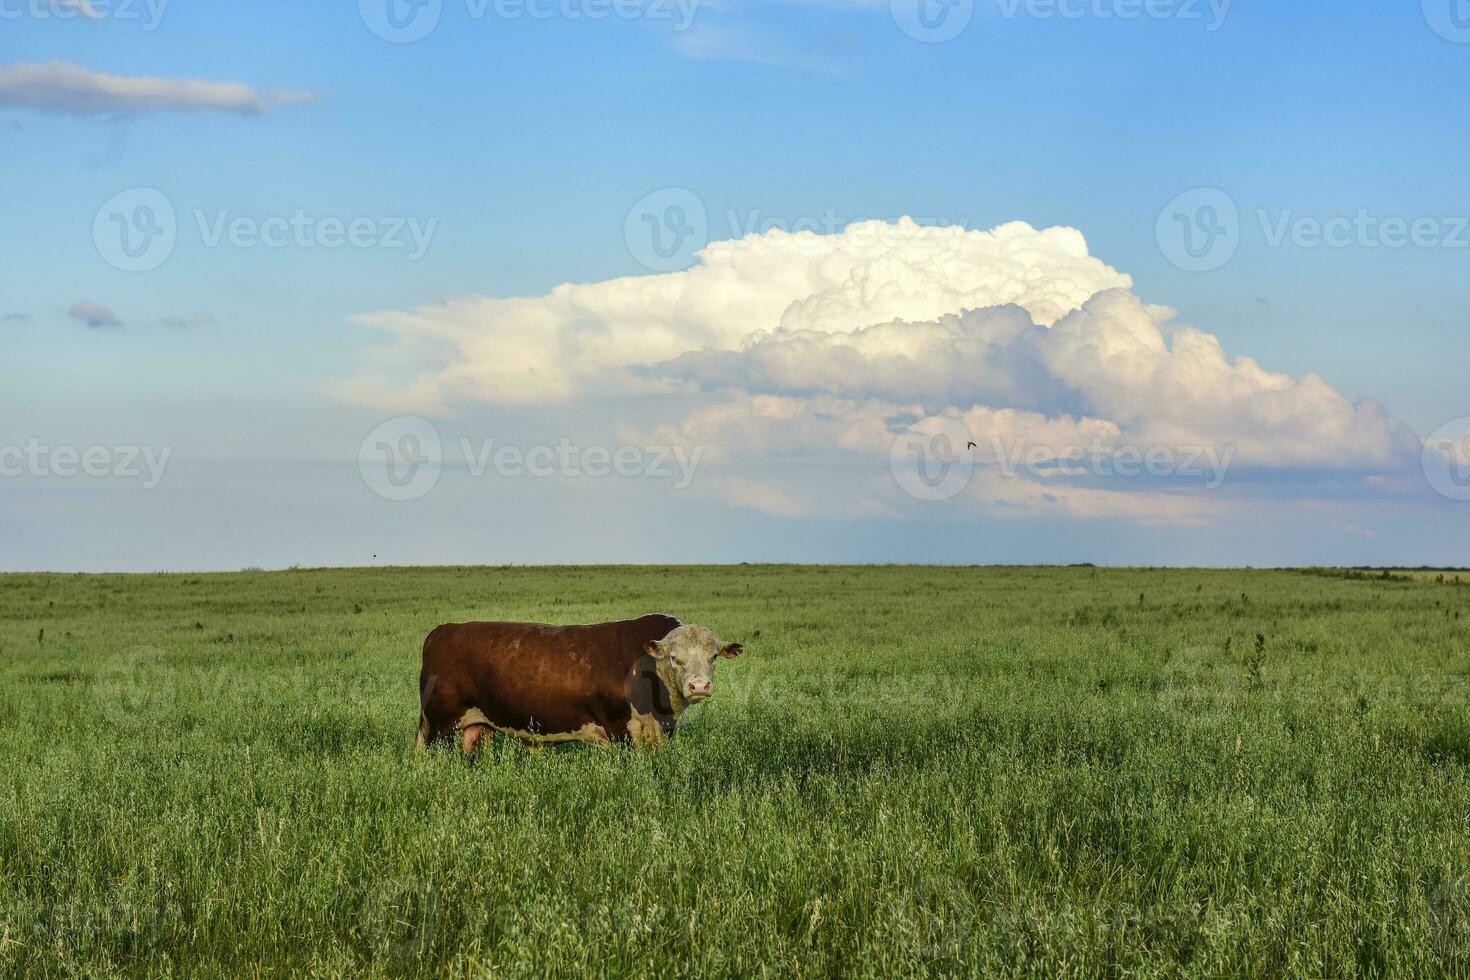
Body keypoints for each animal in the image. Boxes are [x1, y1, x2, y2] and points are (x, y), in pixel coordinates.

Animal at [414, 614, 740, 752]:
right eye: (674, 658)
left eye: (713, 656)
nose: (699, 686)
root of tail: (442, 631)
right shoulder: (621, 731)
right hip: (439, 726)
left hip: (473, 727)